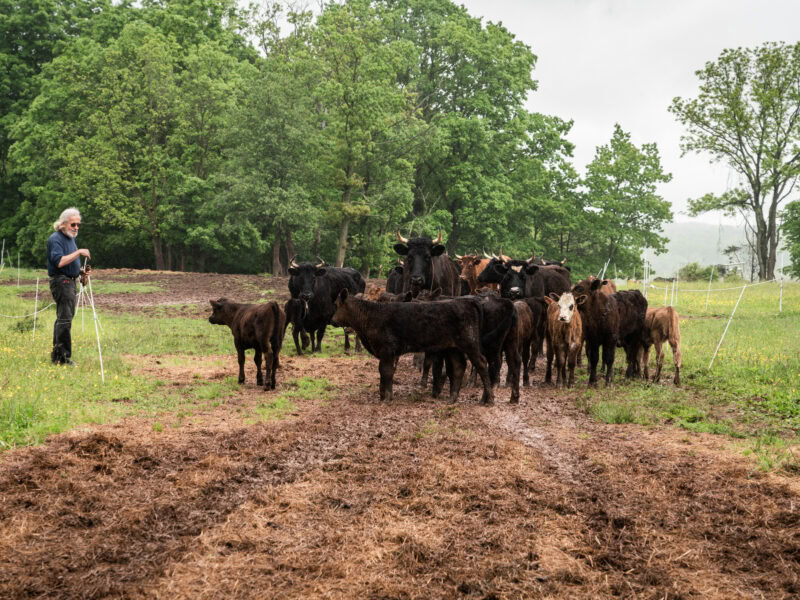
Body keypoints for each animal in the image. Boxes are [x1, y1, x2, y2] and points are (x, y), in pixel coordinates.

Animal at [332, 290, 494, 404]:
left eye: (337, 305)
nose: (332, 320)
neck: (371, 315)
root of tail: (468, 302)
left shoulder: (387, 351)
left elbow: (385, 372)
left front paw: (386, 397)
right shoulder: (390, 353)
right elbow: (386, 372)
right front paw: (384, 395)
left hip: (469, 343)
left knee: (481, 363)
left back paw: (488, 399)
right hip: (453, 348)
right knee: (459, 367)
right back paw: (452, 399)